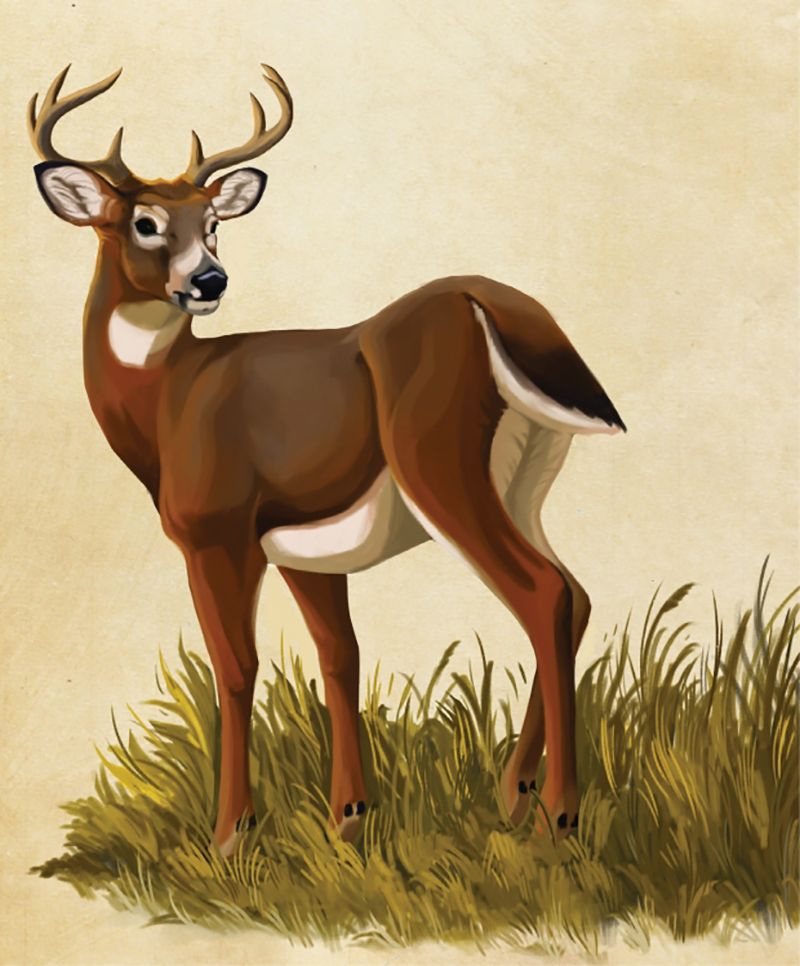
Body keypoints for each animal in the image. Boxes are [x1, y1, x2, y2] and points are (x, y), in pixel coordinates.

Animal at [29, 63, 625, 858]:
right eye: (145, 222)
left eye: (212, 224)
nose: (210, 280)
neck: (169, 400)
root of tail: (496, 307)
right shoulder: (303, 553)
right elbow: (339, 657)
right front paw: (351, 817)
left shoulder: (215, 529)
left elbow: (235, 668)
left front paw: (230, 834)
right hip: (527, 476)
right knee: (576, 592)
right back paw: (513, 794)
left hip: (437, 460)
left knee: (543, 592)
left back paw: (557, 816)